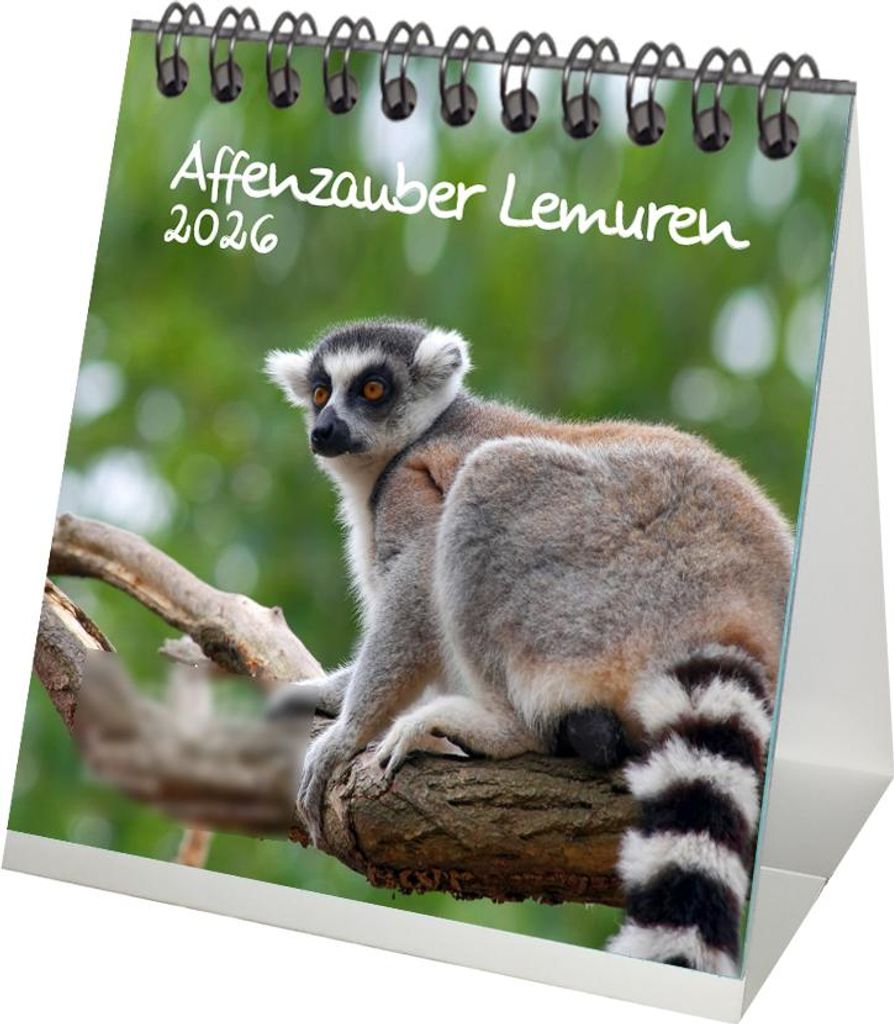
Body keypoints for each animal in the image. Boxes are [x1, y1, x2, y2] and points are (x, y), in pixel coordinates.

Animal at [265, 319, 792, 976]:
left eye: (372, 389)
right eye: (319, 393)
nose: (325, 429)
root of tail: (743, 609)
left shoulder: (411, 486)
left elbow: (415, 590)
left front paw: (344, 736)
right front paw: (322, 693)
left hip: (603, 589)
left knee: (492, 476)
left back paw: (498, 728)